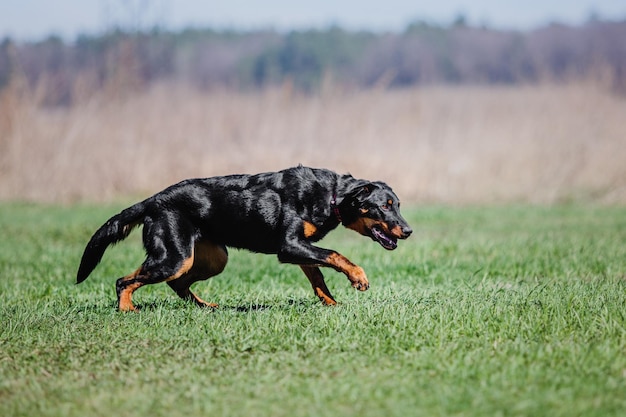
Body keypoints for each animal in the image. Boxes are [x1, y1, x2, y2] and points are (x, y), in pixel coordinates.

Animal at [77, 165, 410, 308]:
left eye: (398, 204)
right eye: (384, 206)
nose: (408, 231)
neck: (332, 195)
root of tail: (153, 200)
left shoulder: (301, 248)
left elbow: (319, 278)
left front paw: (332, 305)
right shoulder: (290, 246)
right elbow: (336, 256)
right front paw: (358, 277)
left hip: (211, 258)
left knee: (177, 284)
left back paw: (206, 308)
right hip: (174, 257)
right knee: (124, 281)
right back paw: (127, 310)